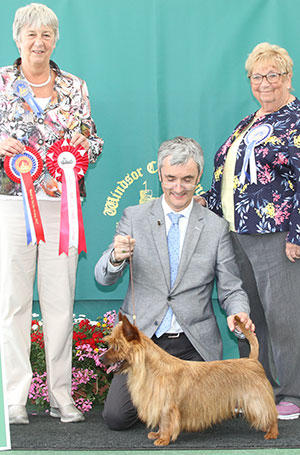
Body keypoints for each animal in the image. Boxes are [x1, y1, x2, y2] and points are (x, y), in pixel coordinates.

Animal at [103, 312, 278, 448]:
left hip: (256, 399)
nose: (101, 358)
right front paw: (158, 434)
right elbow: (161, 422)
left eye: (117, 347)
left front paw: (163, 439)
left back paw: (272, 433)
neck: (150, 368)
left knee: (271, 414)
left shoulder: (167, 406)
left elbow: (165, 422)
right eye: (110, 344)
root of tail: (252, 360)